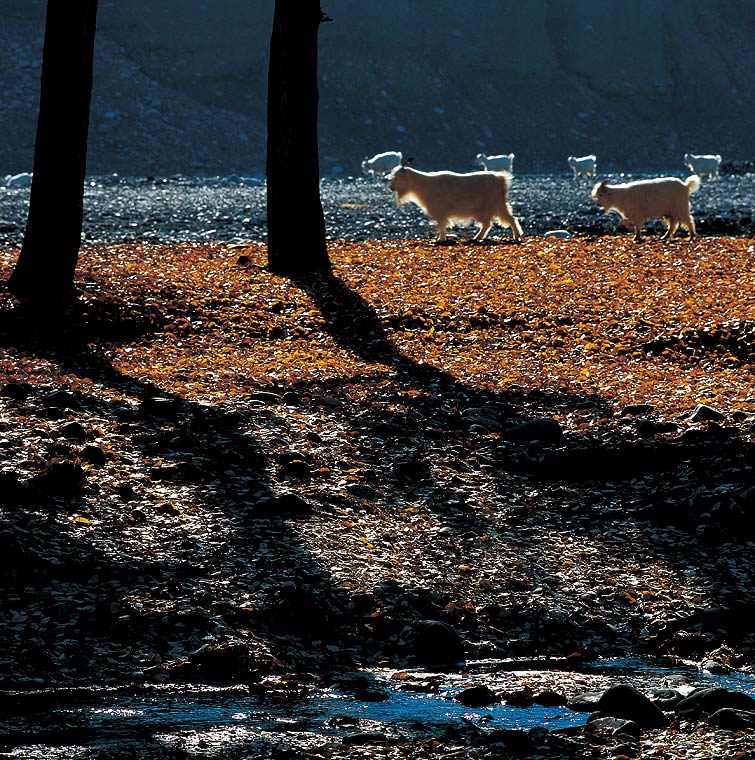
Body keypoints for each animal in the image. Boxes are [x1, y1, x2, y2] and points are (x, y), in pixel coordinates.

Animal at [386, 165, 524, 242]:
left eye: (398, 177)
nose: (391, 187)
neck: (424, 185)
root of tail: (500, 178)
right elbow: (442, 225)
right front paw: (441, 238)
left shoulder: (440, 212)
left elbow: (442, 225)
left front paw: (440, 239)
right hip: (496, 206)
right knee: (498, 221)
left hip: (492, 206)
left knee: (500, 221)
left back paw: (515, 236)